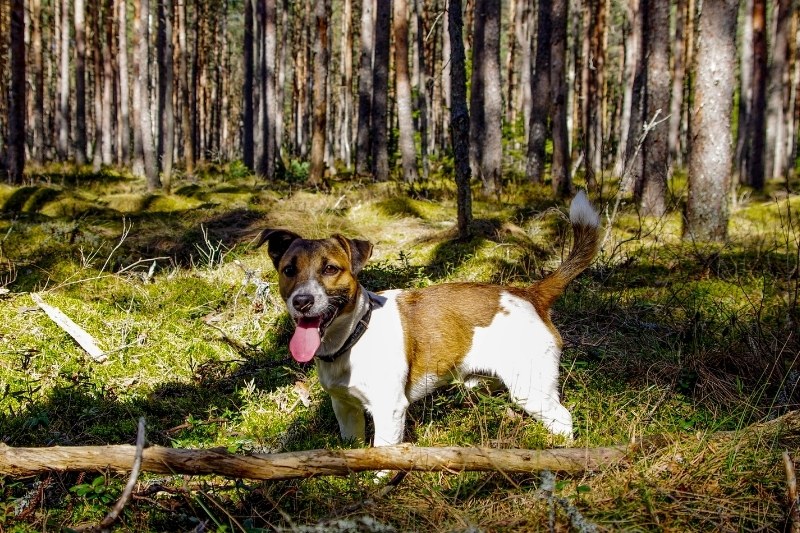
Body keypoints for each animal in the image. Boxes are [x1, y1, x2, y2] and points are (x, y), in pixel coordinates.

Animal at [256, 191, 600, 444]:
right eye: (289, 270)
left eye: (330, 269)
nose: (302, 301)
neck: (354, 335)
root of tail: (530, 293)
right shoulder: (345, 408)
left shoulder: (390, 409)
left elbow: (383, 451)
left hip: (531, 389)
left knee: (562, 419)